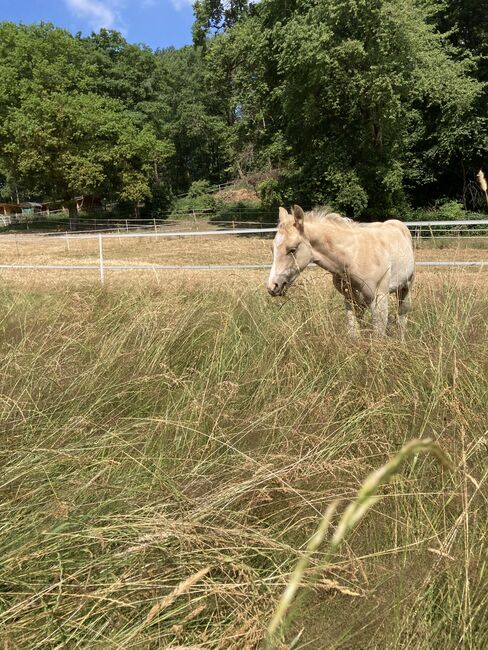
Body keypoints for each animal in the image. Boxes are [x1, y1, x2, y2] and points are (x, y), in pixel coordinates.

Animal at [266, 202, 416, 336]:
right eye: (272, 248)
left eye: (292, 249)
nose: (273, 286)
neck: (353, 257)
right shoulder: (350, 300)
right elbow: (353, 333)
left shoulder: (380, 300)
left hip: (406, 287)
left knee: (402, 318)